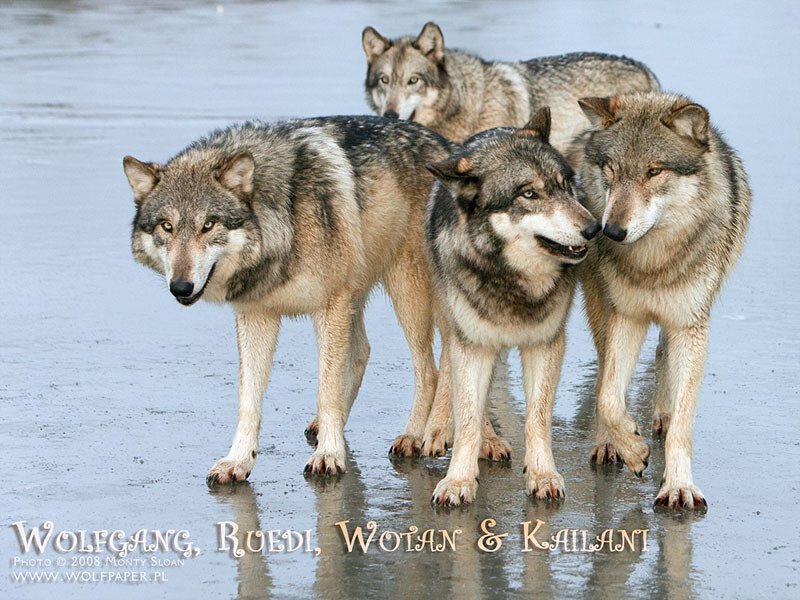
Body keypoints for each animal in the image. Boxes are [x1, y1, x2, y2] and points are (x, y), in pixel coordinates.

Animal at [122, 116, 454, 482]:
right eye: (166, 226)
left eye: (208, 225)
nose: (181, 287)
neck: (284, 219)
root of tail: (446, 146)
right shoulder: (257, 315)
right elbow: (248, 401)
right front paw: (238, 460)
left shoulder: (330, 306)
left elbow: (327, 390)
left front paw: (328, 455)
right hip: (360, 295)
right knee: (364, 351)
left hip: (407, 290)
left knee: (432, 368)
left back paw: (423, 434)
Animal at [425, 108, 600, 506]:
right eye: (529, 194)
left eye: (565, 185)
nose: (594, 228)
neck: (512, 281)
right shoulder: (472, 343)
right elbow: (468, 417)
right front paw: (458, 480)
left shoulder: (545, 343)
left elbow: (537, 417)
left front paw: (542, 474)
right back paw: (441, 428)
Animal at [575, 92, 751, 510]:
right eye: (612, 169)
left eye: (654, 171)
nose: (611, 231)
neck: (653, 263)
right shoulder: (627, 316)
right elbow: (609, 397)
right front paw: (632, 449)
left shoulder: (690, 324)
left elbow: (683, 424)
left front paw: (678, 485)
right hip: (600, 308)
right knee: (604, 376)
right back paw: (609, 444)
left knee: (661, 358)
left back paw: (662, 415)